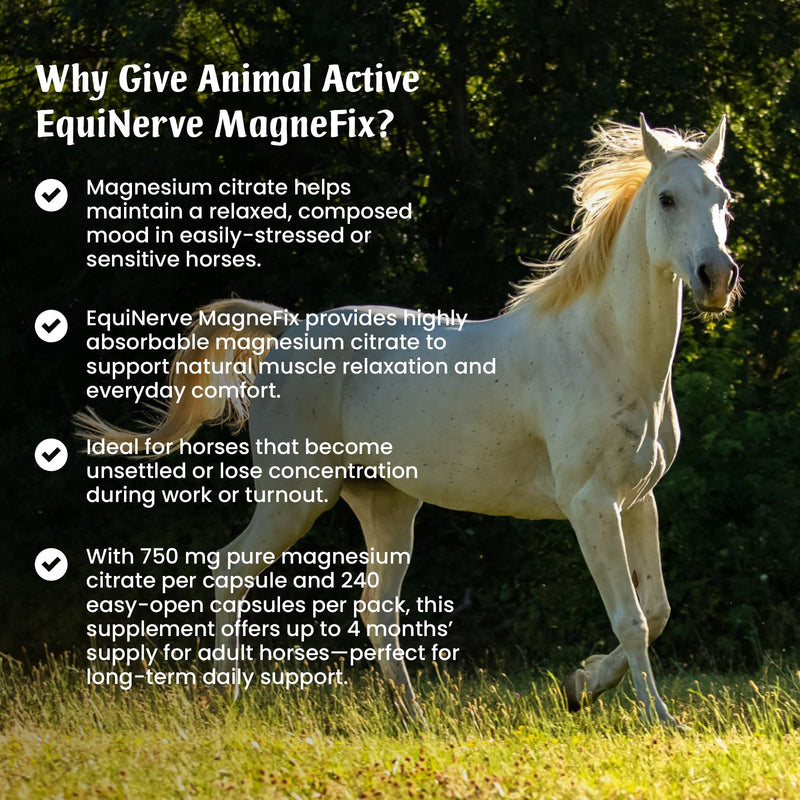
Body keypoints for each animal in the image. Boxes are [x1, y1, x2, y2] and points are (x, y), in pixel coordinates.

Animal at [75, 116, 739, 726]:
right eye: (667, 198)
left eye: (723, 198)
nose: (717, 277)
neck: (603, 349)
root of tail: (288, 331)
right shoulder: (591, 504)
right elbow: (631, 619)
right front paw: (659, 720)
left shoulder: (638, 501)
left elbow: (657, 611)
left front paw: (581, 686)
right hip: (296, 496)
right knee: (233, 568)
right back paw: (227, 699)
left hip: (386, 504)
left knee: (376, 608)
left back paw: (414, 718)